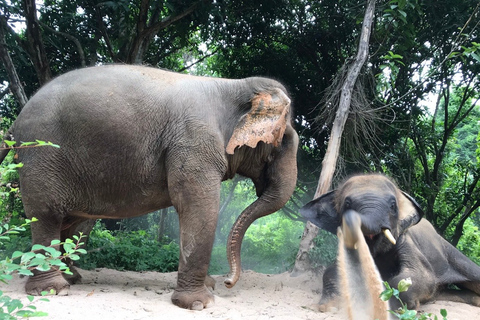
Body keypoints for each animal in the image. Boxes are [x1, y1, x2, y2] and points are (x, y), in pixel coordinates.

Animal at [0, 65, 300, 310]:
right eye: (282, 141)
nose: (228, 282)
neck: (232, 86)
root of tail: (15, 121)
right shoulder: (194, 143)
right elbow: (197, 205)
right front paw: (199, 304)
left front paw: (209, 287)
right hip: (41, 153)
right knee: (47, 215)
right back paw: (53, 289)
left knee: (70, 222)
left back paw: (72, 278)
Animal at [300, 174, 480, 312]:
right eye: (347, 204)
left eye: (393, 205)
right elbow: (331, 271)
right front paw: (327, 307)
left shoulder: (406, 240)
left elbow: (423, 276)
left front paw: (398, 307)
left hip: (452, 254)